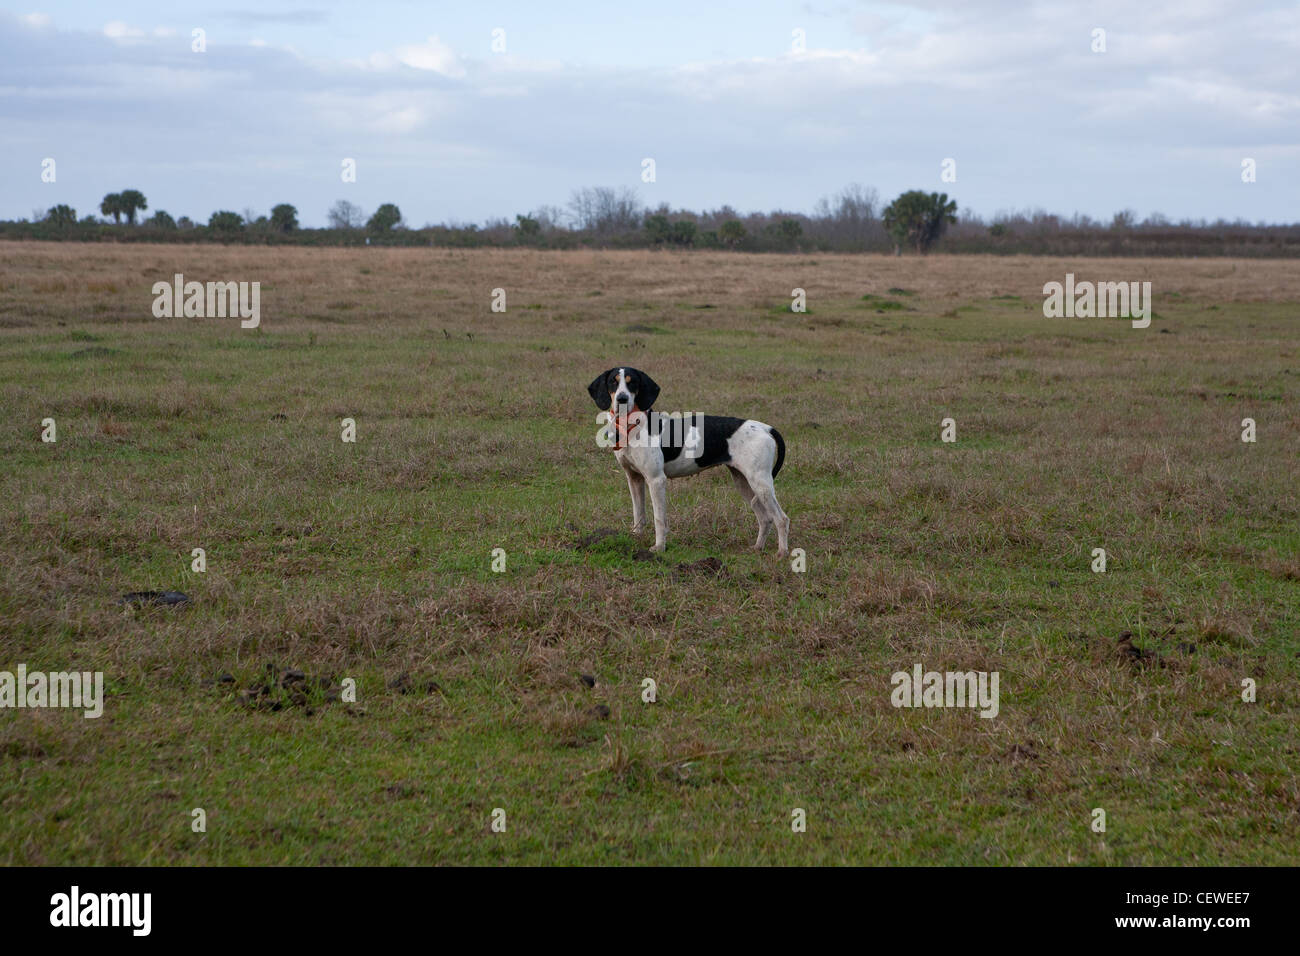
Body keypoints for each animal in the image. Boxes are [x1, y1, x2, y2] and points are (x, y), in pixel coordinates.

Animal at [590, 369, 790, 561]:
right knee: (765, 518)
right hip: (744, 483)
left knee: (781, 519)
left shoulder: (656, 480)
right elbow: (638, 514)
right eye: (613, 382)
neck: (634, 425)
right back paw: (758, 547)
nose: (622, 399)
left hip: (760, 484)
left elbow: (659, 519)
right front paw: (636, 539)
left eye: (633, 383)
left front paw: (659, 548)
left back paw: (782, 553)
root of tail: (765, 428)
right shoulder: (634, 479)